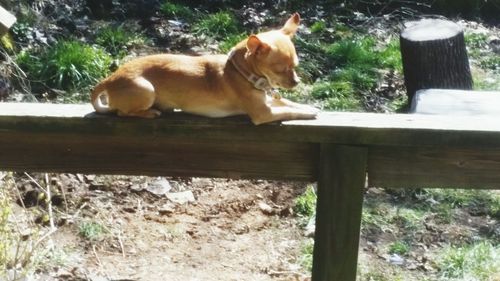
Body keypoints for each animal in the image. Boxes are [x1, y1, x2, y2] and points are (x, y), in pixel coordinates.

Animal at [91, 12, 318, 124]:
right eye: (279, 69)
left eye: (295, 66)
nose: (296, 82)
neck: (241, 72)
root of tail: (109, 79)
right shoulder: (264, 114)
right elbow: (288, 111)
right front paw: (308, 114)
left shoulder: (267, 100)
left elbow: (288, 102)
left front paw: (308, 107)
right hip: (146, 89)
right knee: (122, 113)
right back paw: (149, 113)